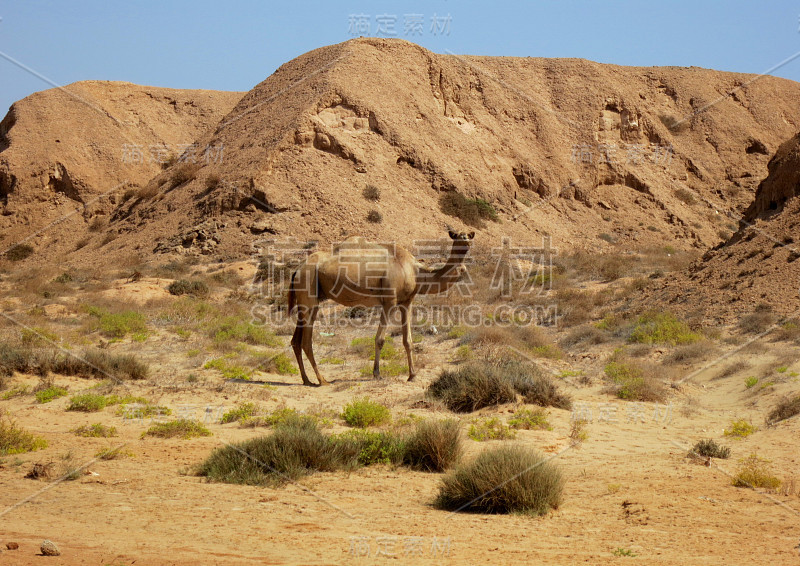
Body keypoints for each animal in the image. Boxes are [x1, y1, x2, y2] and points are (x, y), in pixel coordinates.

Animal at [288, 230, 476, 386]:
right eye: (457, 236)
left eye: (469, 234)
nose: (466, 241)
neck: (415, 271)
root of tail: (298, 269)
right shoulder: (389, 301)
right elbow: (380, 339)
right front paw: (377, 373)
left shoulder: (406, 302)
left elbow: (407, 340)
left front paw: (412, 375)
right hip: (309, 289)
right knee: (306, 341)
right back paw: (322, 380)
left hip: (306, 302)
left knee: (295, 340)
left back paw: (306, 380)